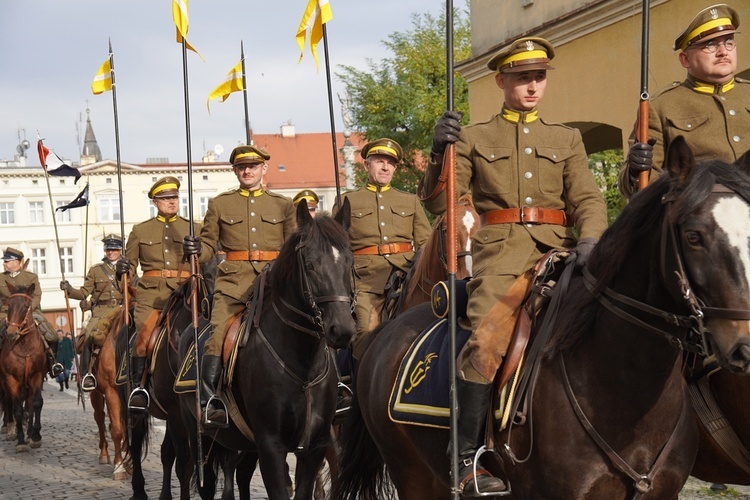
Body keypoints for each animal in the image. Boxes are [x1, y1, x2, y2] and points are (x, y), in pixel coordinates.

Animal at [0, 286, 48, 454]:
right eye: (9, 305)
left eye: (26, 306)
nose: (11, 333)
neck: (24, 345)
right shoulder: (11, 379)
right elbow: (17, 410)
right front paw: (20, 440)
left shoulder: (37, 376)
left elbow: (36, 404)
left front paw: (35, 437)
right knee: (8, 402)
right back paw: (10, 429)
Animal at [181, 200, 358, 500]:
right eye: (309, 264)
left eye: (349, 262)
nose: (342, 329)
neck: (301, 363)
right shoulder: (270, 446)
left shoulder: (315, 446)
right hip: (192, 432)